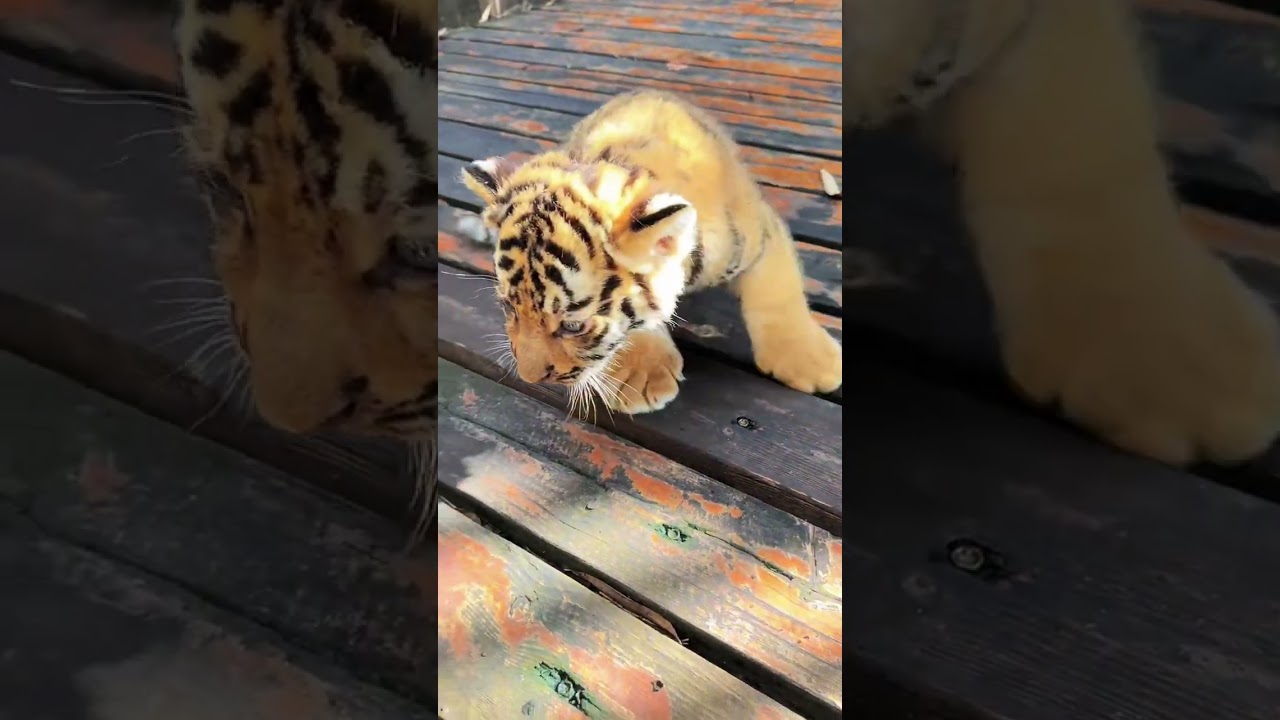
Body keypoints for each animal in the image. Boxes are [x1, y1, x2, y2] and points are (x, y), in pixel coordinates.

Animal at [459, 89, 843, 415]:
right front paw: (640, 377)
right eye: (508, 307)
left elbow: (778, 294)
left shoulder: (760, 232)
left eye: (572, 326)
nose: (529, 377)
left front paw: (810, 362)